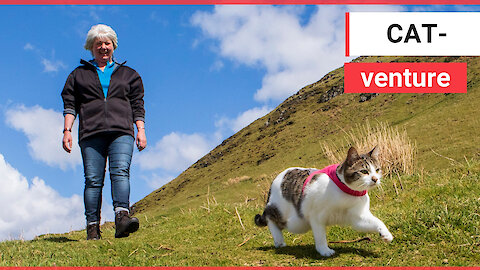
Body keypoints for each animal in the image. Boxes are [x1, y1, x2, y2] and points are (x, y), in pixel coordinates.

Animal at [253, 147, 392, 256]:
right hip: (291, 218)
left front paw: (386, 233)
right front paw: (324, 250)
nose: (375, 179)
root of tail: (276, 179)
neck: (347, 193)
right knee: (270, 217)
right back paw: (279, 240)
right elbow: (320, 235)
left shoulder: (358, 217)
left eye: (377, 170)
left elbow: (377, 221)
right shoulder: (316, 216)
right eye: (364, 171)